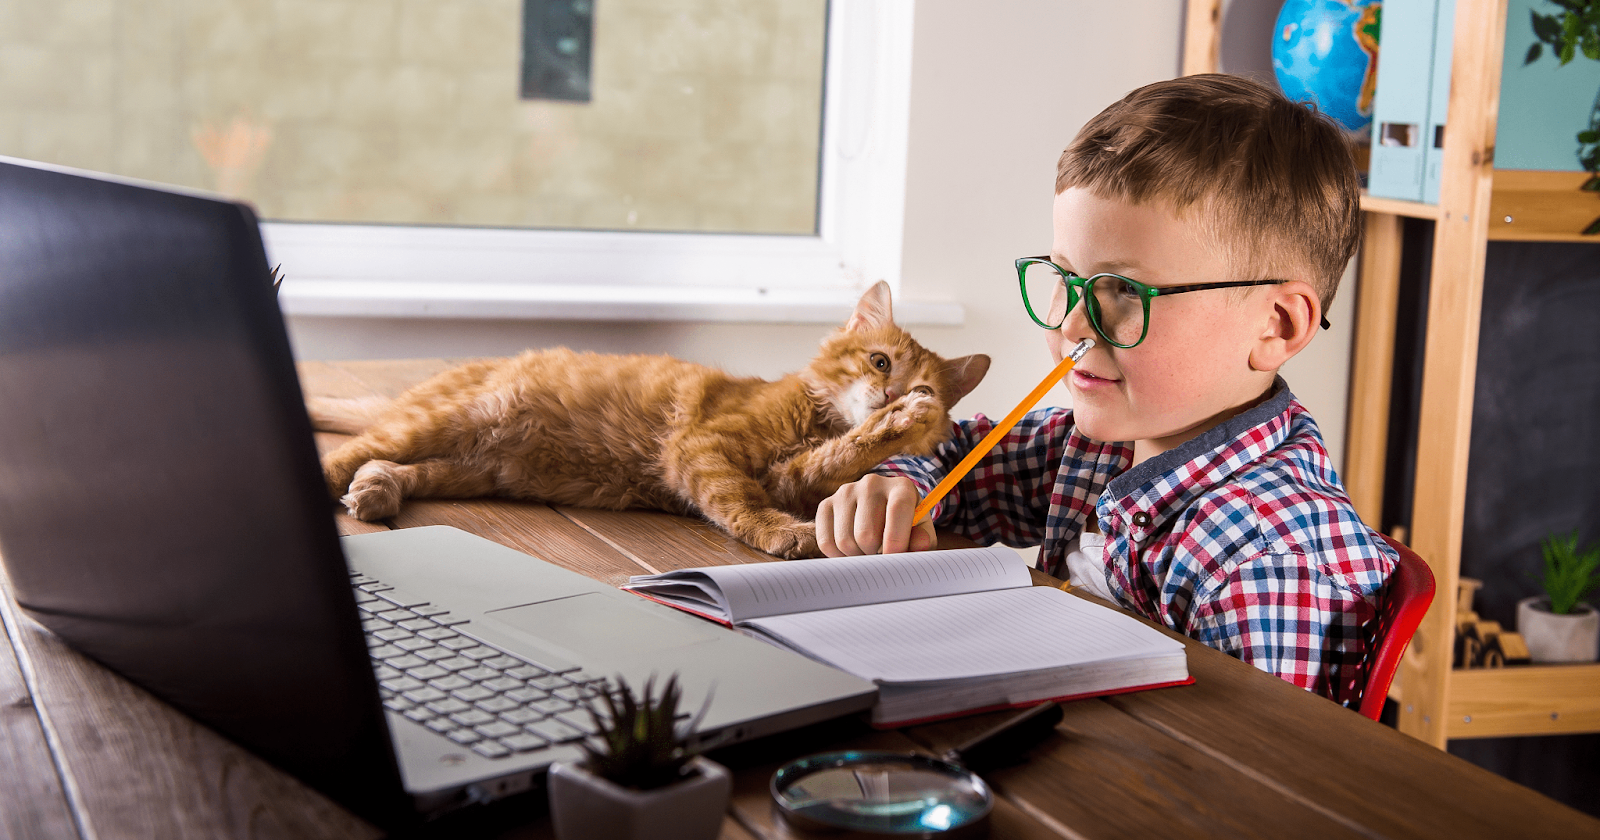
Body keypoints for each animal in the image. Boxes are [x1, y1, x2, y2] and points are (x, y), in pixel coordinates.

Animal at [308, 281, 985, 556]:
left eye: (920, 381)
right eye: (879, 361)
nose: (892, 391)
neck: (817, 419)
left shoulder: (790, 475)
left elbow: (842, 456)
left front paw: (901, 421)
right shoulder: (705, 448)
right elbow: (740, 501)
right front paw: (781, 534)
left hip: (474, 467)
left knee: (388, 462)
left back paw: (376, 490)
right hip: (447, 421)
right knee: (349, 451)